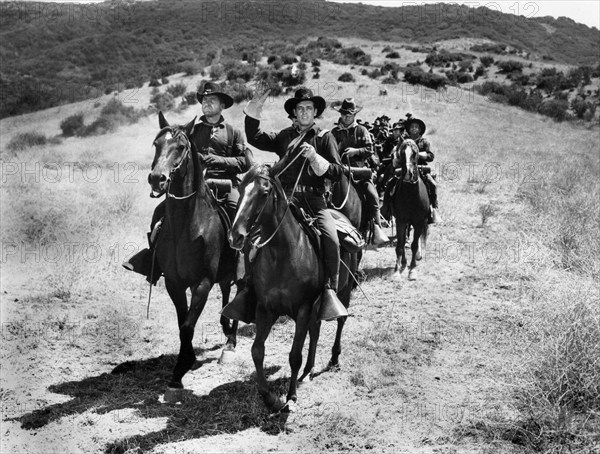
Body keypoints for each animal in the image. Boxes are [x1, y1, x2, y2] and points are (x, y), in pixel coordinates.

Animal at [146, 111, 238, 400]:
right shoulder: (174, 283)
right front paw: (181, 369)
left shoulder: (202, 283)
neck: (187, 226)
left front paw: (182, 368)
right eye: (156, 144)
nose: (157, 179)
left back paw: (230, 342)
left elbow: (188, 325)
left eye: (180, 147)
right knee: (227, 291)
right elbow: (181, 324)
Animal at [392, 138, 428, 280]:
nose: (408, 174)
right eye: (401, 153)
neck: (410, 196)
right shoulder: (400, 221)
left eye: (415, 153)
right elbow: (400, 245)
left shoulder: (419, 222)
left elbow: (414, 245)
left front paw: (412, 269)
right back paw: (403, 262)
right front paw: (397, 270)